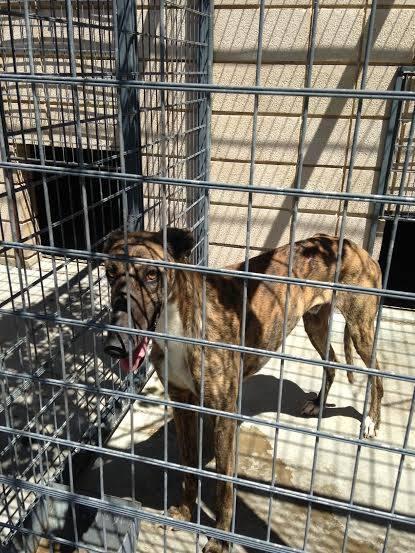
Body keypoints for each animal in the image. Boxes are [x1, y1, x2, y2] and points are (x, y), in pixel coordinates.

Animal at [103, 226, 384, 548]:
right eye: (110, 273)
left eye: (151, 274)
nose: (114, 345)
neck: (178, 325)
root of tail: (349, 243)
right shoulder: (181, 403)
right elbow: (188, 466)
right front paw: (185, 513)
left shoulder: (225, 416)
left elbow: (225, 485)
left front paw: (220, 541)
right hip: (315, 323)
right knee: (333, 363)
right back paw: (318, 403)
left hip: (361, 327)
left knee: (377, 373)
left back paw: (371, 421)